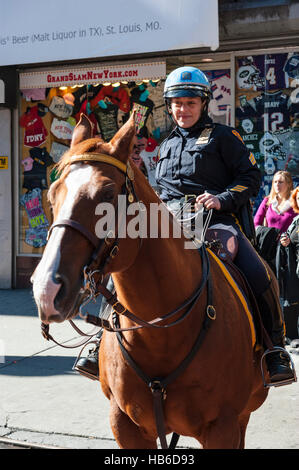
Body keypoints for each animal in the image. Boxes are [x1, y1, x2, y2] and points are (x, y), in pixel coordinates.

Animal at [32, 114, 270, 448]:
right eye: (52, 194)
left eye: (107, 195)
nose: (46, 289)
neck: (161, 334)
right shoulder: (124, 424)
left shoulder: (222, 427)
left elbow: (247, 174)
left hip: (243, 416)